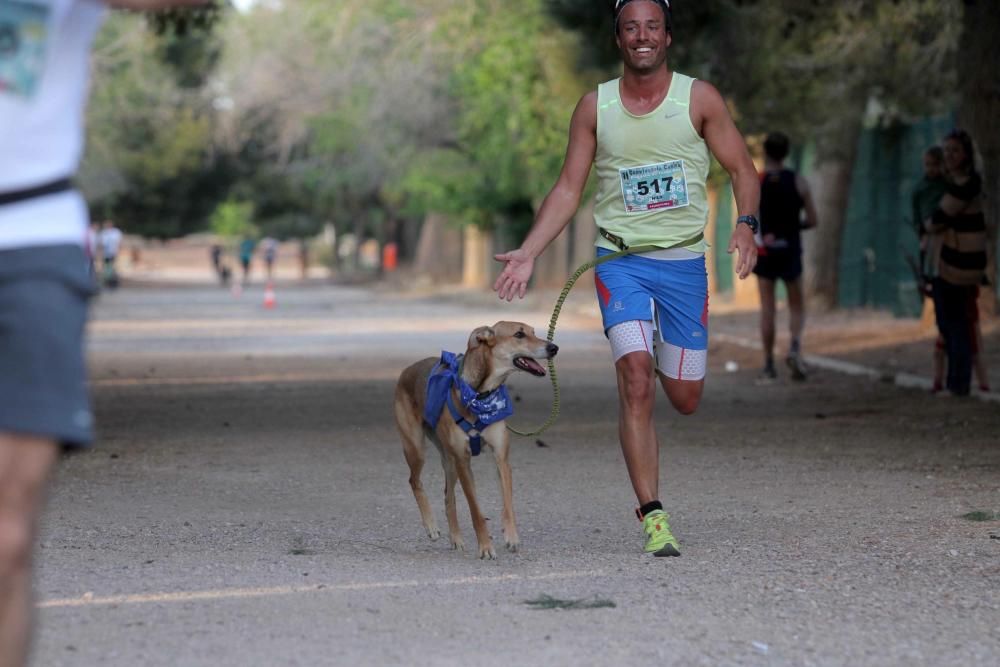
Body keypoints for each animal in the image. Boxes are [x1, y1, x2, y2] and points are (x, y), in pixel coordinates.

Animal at [394, 320, 560, 560]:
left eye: (533, 332)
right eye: (519, 334)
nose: (554, 348)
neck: (480, 395)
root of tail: (407, 370)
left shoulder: (500, 457)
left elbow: (508, 504)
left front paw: (511, 536)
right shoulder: (464, 461)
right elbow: (476, 511)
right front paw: (485, 547)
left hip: (449, 460)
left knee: (448, 497)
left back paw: (456, 538)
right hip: (416, 448)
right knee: (414, 481)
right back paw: (431, 526)